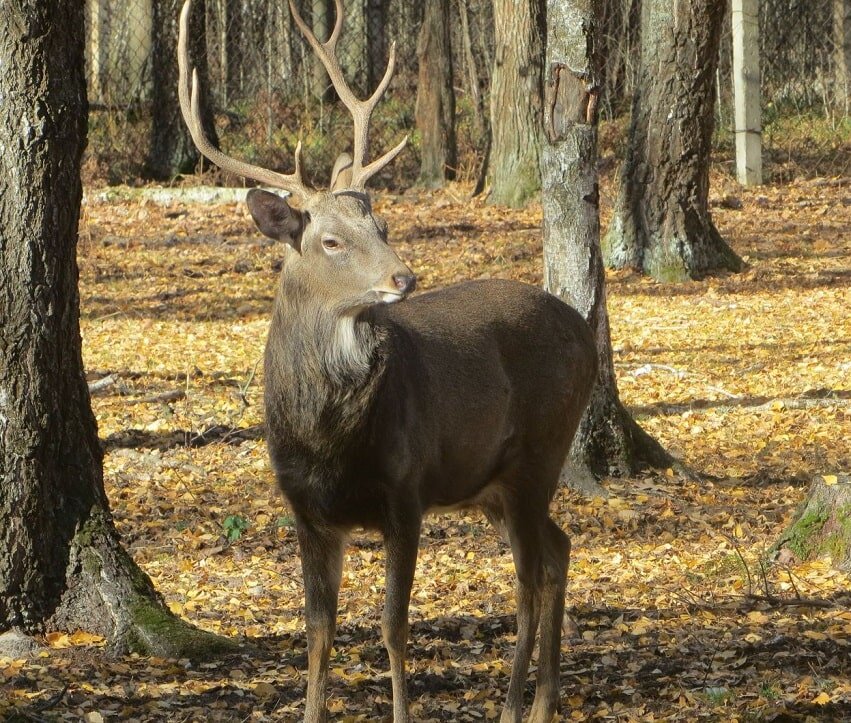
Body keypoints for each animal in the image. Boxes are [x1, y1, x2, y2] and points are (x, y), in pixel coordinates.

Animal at [176, 0, 596, 720]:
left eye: (385, 225)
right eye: (330, 240)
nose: (404, 276)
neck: (328, 437)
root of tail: (585, 328)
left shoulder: (406, 491)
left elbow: (393, 627)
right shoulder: (308, 511)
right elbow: (318, 632)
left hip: (540, 451)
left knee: (529, 578)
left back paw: (518, 703)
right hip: (492, 480)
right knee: (560, 548)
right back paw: (539, 700)